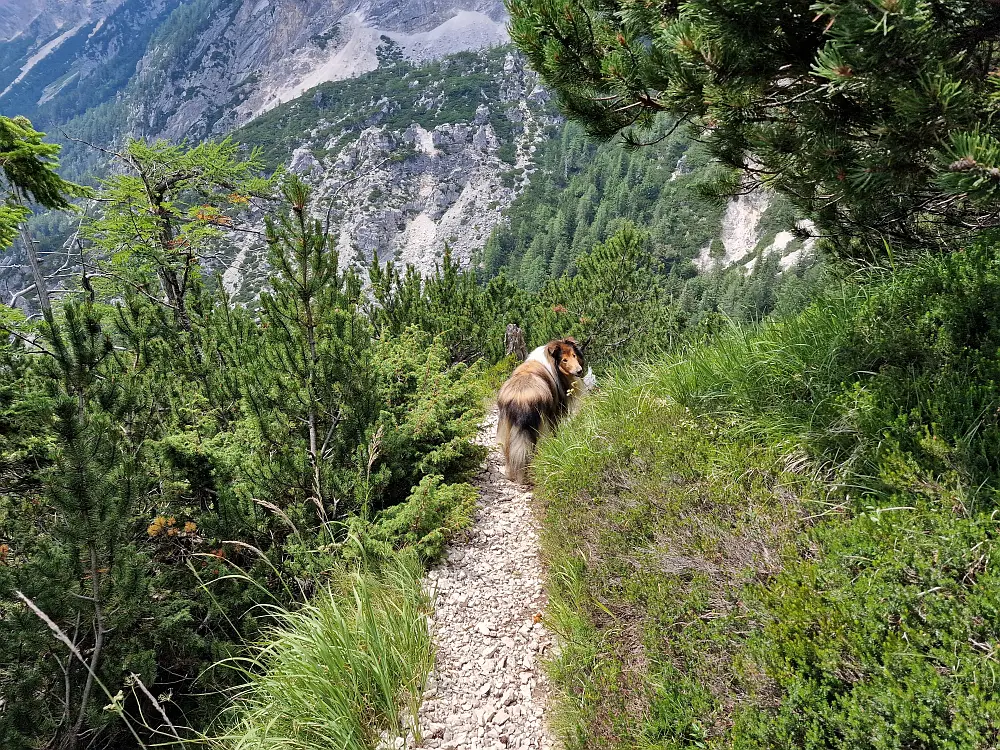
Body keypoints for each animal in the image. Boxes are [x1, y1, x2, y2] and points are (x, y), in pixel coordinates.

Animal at [498, 338, 584, 484]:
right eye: (564, 360)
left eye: (574, 355)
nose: (579, 371)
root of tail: (519, 396)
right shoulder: (554, 413)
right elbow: (555, 431)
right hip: (534, 427)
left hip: (508, 427)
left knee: (509, 451)